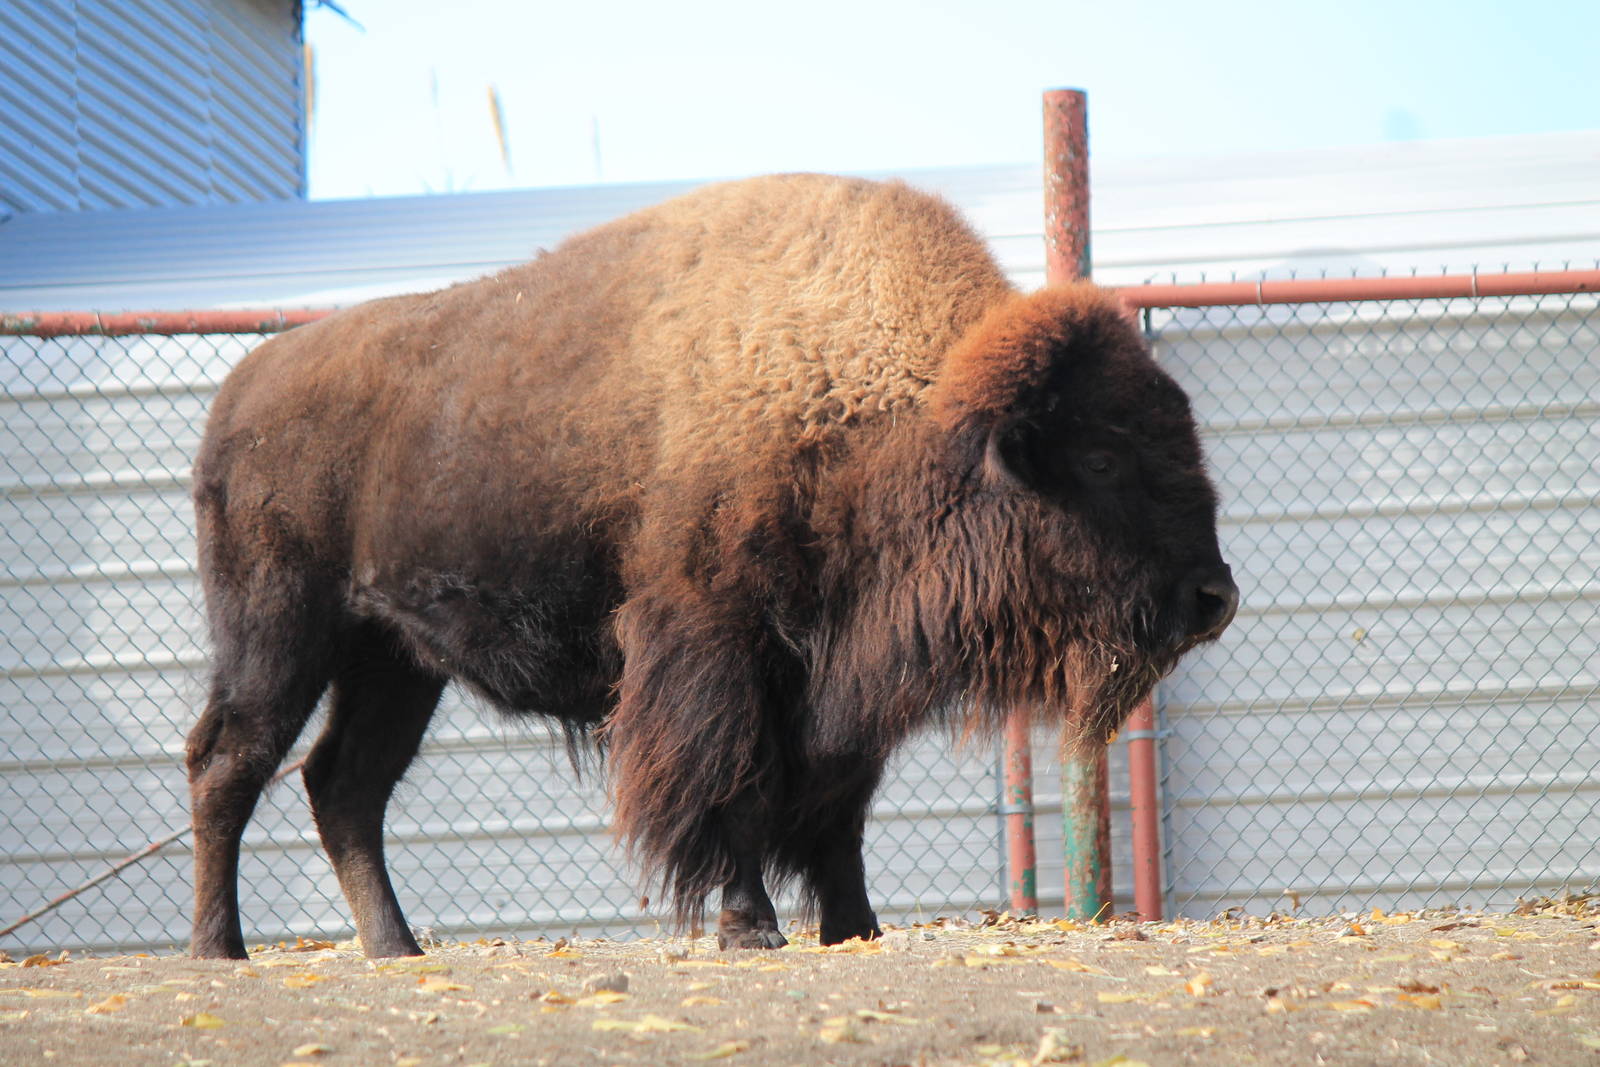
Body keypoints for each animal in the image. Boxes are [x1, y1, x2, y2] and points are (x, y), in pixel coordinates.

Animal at [186, 173, 1238, 958]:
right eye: (1100, 457)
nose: (1214, 597)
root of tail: (239, 394)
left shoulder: (837, 682)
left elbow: (834, 807)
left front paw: (855, 927)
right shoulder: (715, 645)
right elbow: (729, 782)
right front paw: (751, 928)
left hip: (393, 660)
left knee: (344, 783)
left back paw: (394, 948)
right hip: (280, 632)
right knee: (229, 760)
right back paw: (219, 949)